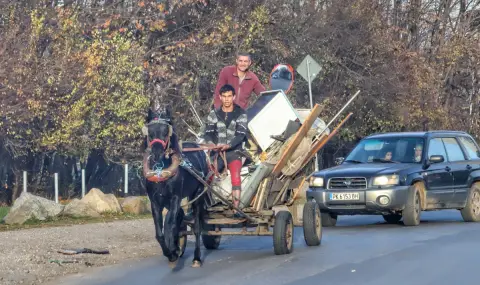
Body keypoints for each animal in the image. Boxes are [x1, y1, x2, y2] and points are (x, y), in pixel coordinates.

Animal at [142, 105, 210, 268]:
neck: (160, 170)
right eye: (150, 131)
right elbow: (160, 232)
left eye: (166, 131)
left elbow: (171, 224)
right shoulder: (155, 202)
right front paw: (171, 252)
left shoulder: (175, 197)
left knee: (196, 227)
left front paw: (173, 250)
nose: (157, 153)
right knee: (179, 216)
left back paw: (196, 258)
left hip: (198, 194)